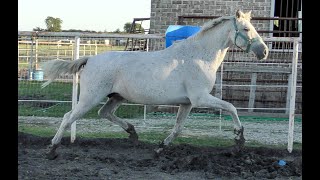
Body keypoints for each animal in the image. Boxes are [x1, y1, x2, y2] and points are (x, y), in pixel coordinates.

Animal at [42, 10, 268, 159]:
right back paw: (52, 149)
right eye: (246, 28)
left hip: (116, 97)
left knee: (104, 113)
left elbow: (178, 128)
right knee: (68, 117)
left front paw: (161, 147)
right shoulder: (200, 98)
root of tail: (89, 60)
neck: (199, 57)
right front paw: (239, 140)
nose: (264, 51)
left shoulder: (187, 103)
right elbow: (231, 107)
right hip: (90, 97)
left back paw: (133, 133)